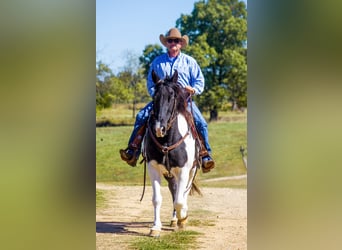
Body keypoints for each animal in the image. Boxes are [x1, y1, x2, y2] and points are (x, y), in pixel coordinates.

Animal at [143, 69, 202, 237]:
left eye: (172, 96)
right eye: (154, 96)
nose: (159, 128)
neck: (167, 141)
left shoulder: (183, 170)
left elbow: (180, 200)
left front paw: (184, 218)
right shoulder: (153, 168)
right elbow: (157, 198)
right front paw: (155, 227)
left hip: (191, 171)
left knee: (183, 193)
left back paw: (180, 218)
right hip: (169, 174)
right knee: (174, 190)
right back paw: (174, 219)